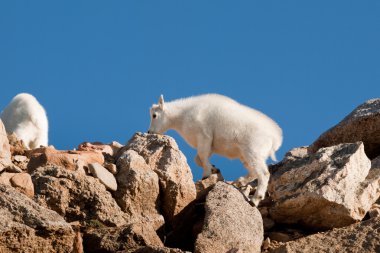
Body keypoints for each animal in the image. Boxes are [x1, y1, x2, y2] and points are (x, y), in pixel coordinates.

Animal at [148, 93, 282, 206]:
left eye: (154, 115)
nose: (149, 132)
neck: (182, 116)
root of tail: (275, 138)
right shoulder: (209, 145)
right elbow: (198, 158)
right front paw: (214, 168)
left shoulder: (204, 136)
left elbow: (202, 156)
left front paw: (206, 174)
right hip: (245, 155)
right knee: (254, 172)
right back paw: (239, 182)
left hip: (253, 152)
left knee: (264, 174)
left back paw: (255, 199)